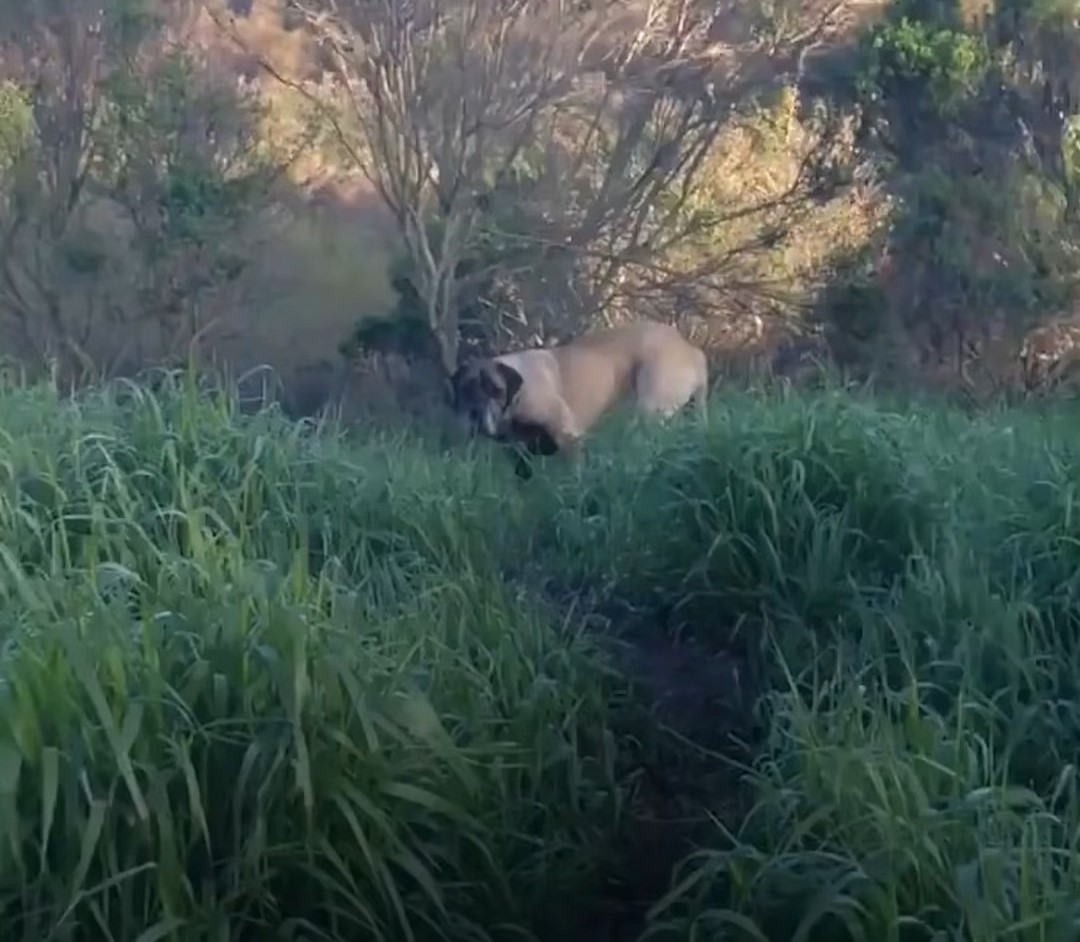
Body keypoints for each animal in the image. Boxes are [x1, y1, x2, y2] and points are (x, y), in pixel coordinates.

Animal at [449, 319, 708, 475]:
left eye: (496, 390)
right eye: (466, 388)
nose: (475, 413)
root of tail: (691, 351)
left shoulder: (569, 439)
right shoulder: (518, 454)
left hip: (649, 407)